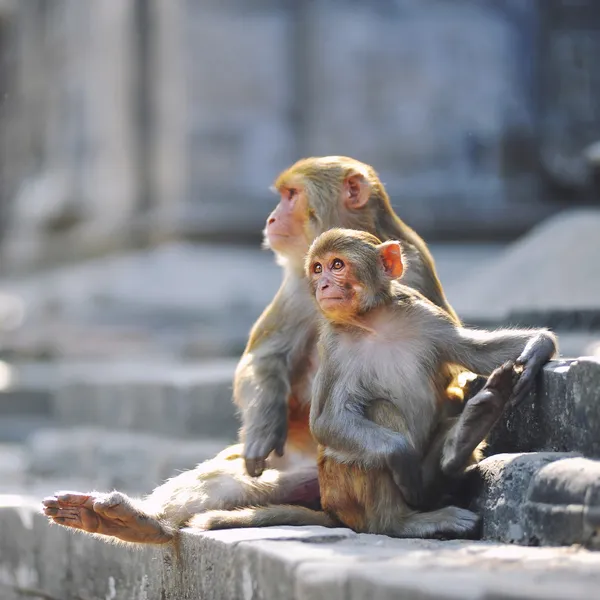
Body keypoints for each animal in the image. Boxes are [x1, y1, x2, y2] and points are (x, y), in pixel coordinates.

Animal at [188, 231, 556, 540]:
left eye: (336, 265)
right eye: (317, 269)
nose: (322, 285)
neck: (375, 322)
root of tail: (335, 513)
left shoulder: (424, 315)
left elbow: (474, 351)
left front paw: (538, 346)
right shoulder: (334, 346)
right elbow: (327, 422)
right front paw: (401, 456)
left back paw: (463, 439)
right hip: (344, 495)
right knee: (378, 415)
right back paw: (401, 521)